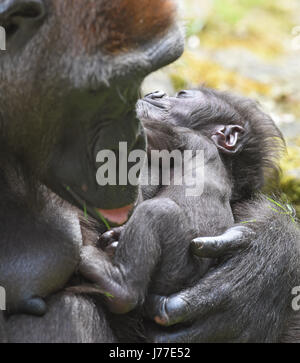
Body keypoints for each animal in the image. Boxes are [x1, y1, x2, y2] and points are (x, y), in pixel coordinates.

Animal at [78, 87, 282, 318]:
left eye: (182, 95)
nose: (157, 93)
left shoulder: (182, 136)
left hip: (175, 266)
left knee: (157, 212)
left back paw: (119, 286)